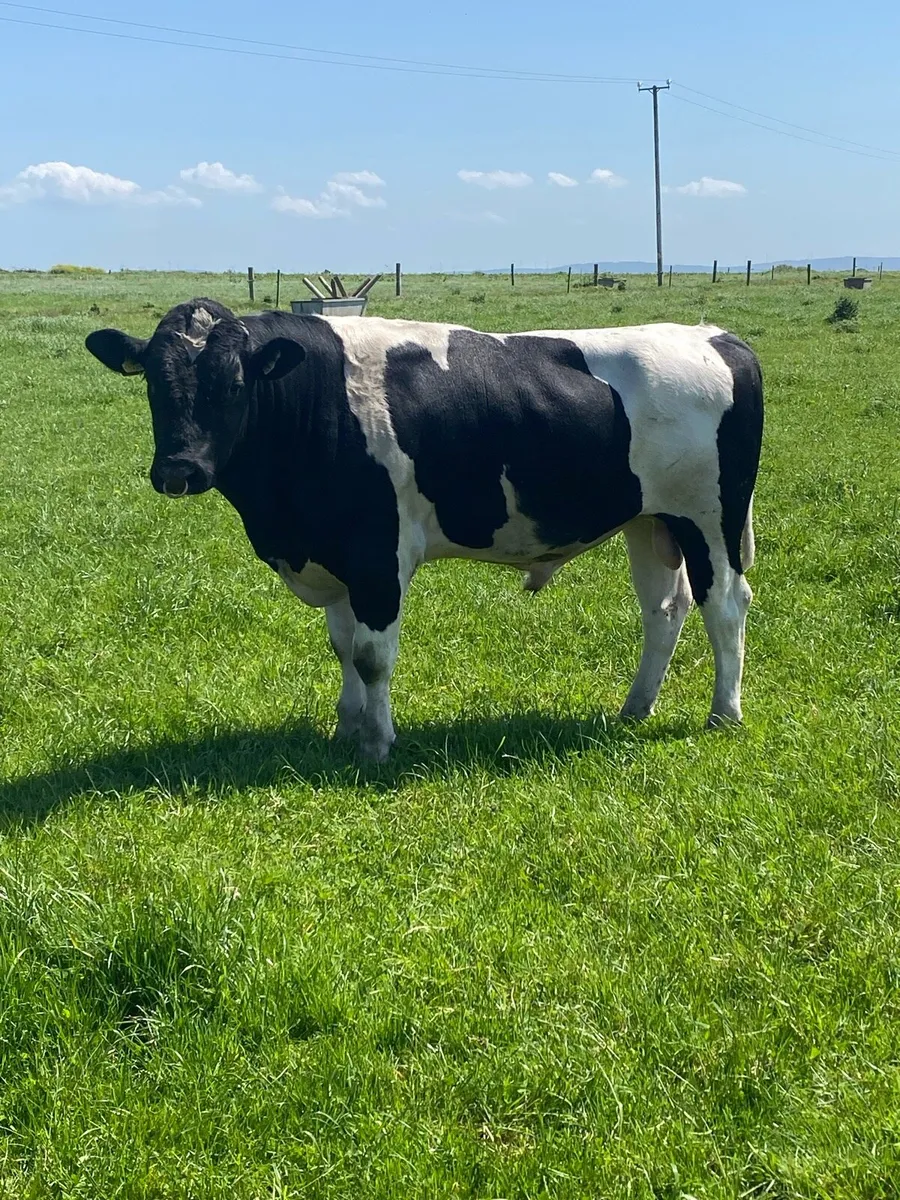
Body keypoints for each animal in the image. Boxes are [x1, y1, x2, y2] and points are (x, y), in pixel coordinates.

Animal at [85, 298, 763, 762]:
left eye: (232, 384)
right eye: (153, 382)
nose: (179, 470)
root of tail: (715, 335)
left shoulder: (376, 553)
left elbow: (371, 655)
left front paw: (377, 744)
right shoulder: (336, 557)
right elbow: (342, 647)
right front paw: (346, 728)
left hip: (710, 518)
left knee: (726, 604)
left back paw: (723, 713)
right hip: (650, 521)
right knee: (664, 610)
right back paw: (633, 709)